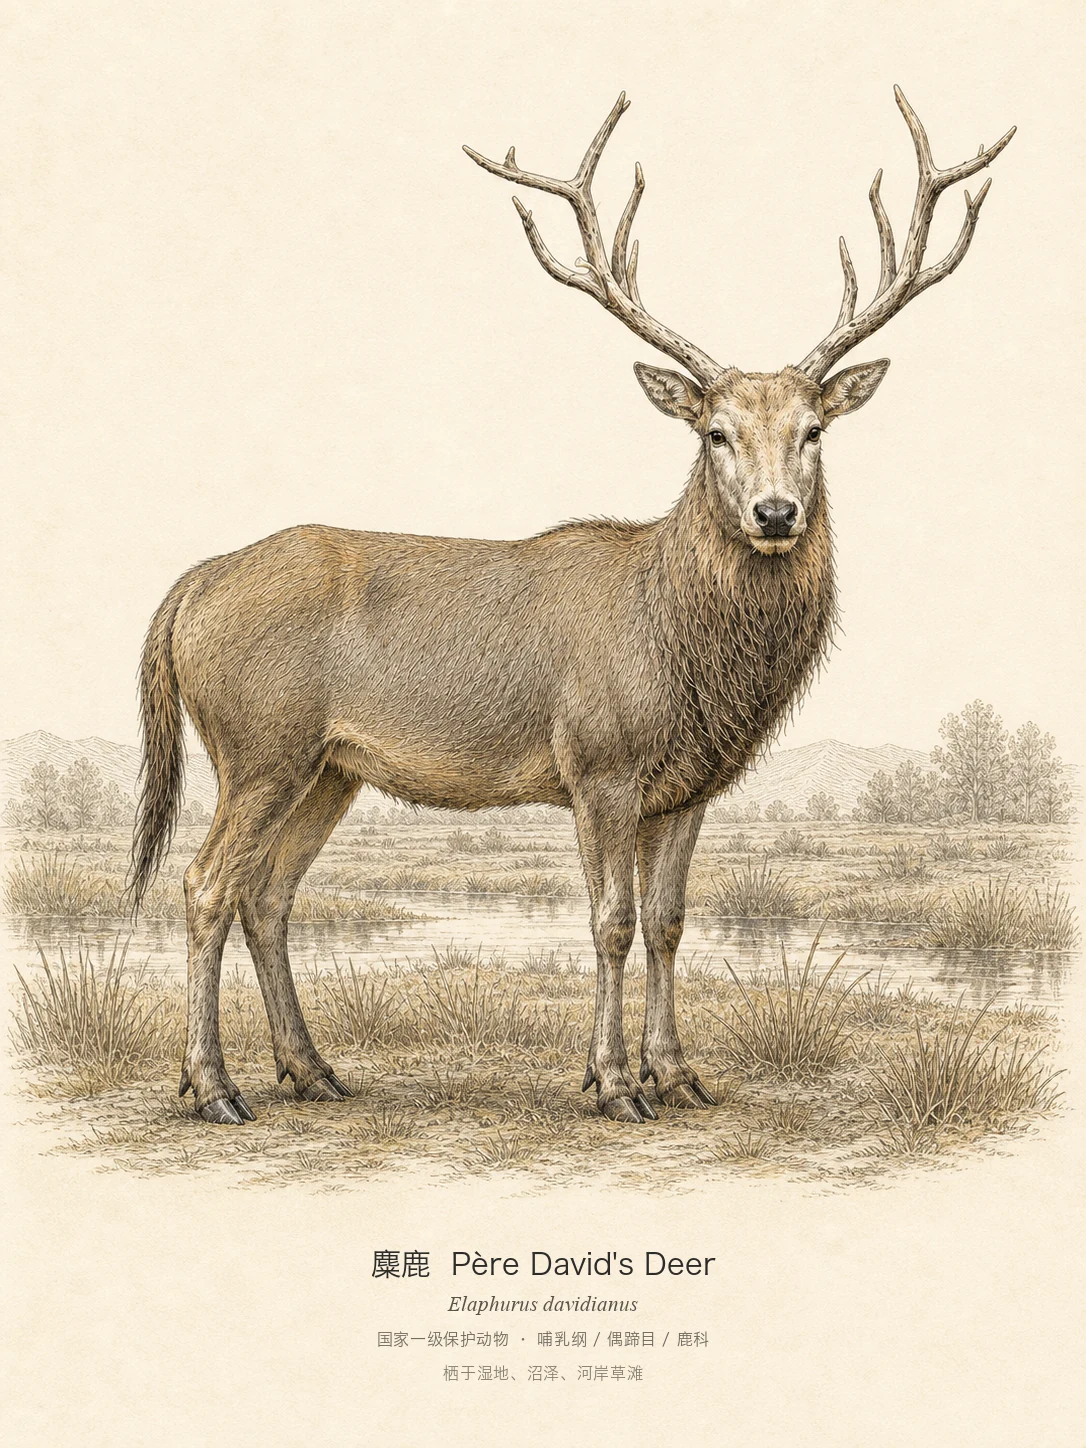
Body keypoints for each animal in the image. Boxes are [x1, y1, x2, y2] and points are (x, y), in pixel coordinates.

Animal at [129, 89, 1014, 1125]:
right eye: (715, 432)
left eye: (814, 430)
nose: (775, 513)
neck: (687, 657)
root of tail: (188, 589)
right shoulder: (600, 762)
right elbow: (611, 921)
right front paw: (614, 1084)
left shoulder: (689, 786)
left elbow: (670, 921)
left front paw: (679, 1074)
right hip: (258, 744)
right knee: (203, 882)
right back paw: (213, 1087)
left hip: (329, 767)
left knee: (267, 893)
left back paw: (312, 1071)